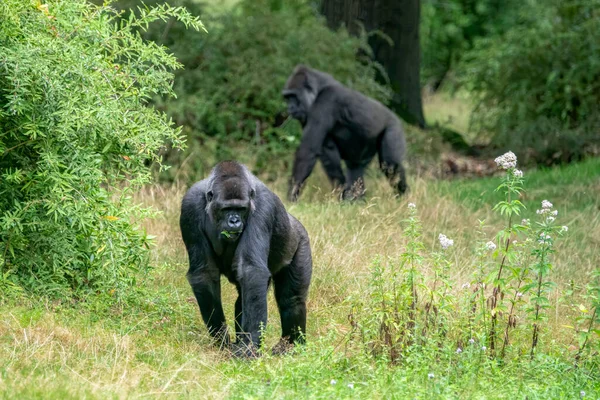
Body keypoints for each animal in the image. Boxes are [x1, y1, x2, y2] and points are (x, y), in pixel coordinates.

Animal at [178, 159, 312, 356]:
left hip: (301, 240)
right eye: (227, 209)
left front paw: (249, 347)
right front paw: (221, 338)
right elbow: (204, 272)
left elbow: (252, 271)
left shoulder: (263, 206)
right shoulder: (190, 205)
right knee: (242, 299)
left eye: (240, 209)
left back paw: (291, 345)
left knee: (292, 299)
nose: (234, 221)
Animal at [282, 66, 408, 203]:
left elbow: (307, 151)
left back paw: (403, 196)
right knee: (355, 168)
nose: (290, 107)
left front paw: (291, 196)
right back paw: (357, 199)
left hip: (393, 127)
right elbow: (325, 152)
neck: (319, 88)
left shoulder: (327, 100)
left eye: (293, 96)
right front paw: (341, 192)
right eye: (287, 98)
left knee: (391, 166)